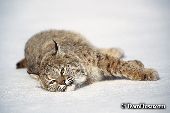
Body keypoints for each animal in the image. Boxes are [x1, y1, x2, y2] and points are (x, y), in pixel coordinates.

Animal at [16, 30, 159, 92]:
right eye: (52, 82)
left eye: (62, 70)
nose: (63, 83)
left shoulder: (98, 58)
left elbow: (119, 65)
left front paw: (145, 72)